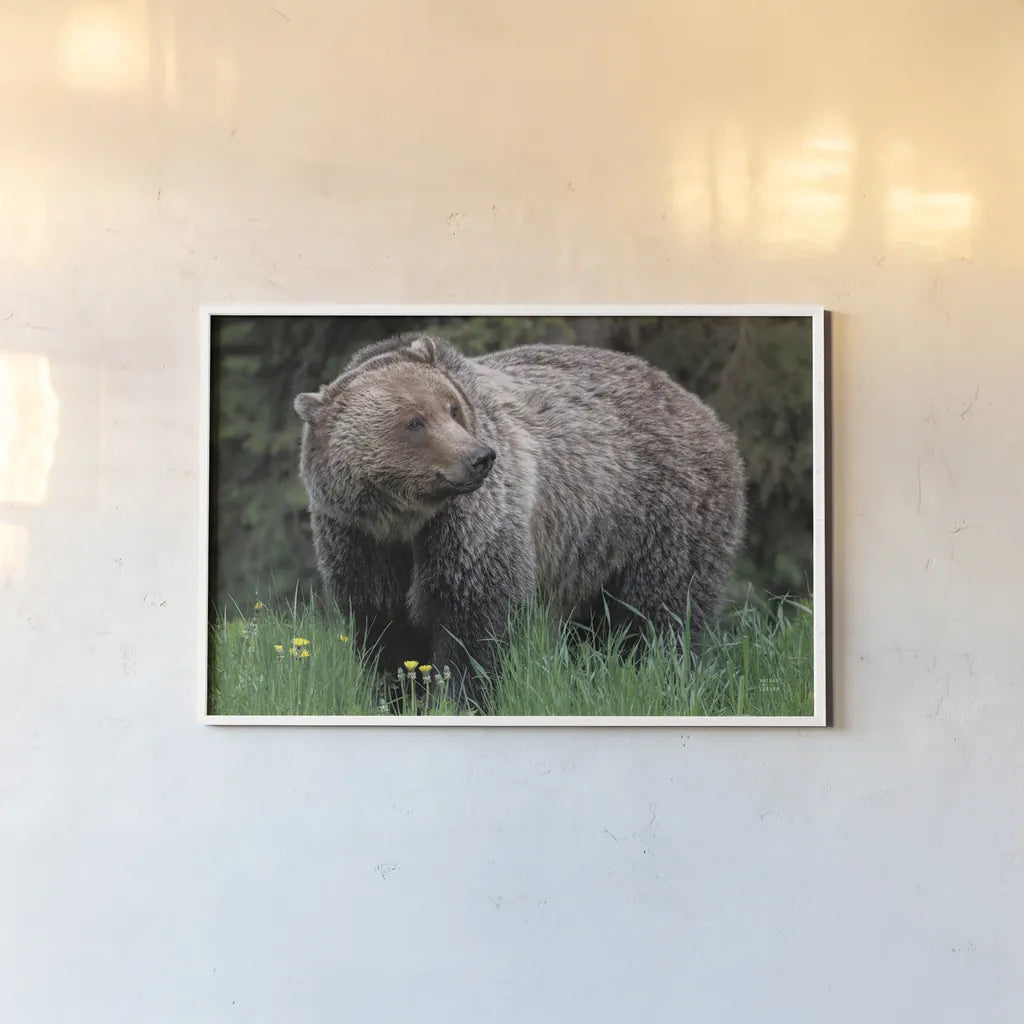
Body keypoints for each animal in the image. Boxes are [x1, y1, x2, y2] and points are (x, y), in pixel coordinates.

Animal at [294, 333, 746, 709]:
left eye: (452, 408)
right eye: (414, 421)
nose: (479, 457)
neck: (404, 519)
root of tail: (700, 408)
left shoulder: (471, 525)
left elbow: (475, 614)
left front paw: (462, 698)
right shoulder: (358, 537)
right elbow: (383, 626)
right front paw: (399, 696)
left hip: (661, 511)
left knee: (660, 612)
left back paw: (661, 675)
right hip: (593, 551)